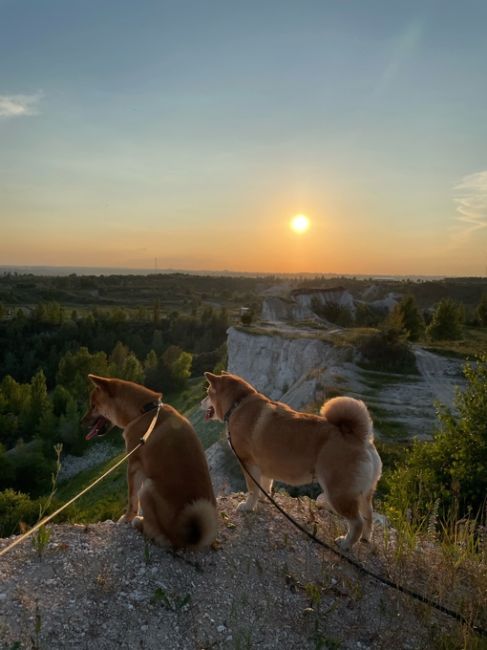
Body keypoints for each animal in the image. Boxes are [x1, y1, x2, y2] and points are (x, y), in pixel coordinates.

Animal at [83, 374, 217, 548]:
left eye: (93, 406)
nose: (81, 422)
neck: (145, 410)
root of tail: (187, 537)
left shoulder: (133, 465)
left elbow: (132, 500)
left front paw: (126, 518)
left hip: (147, 487)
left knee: (155, 533)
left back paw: (139, 523)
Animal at [202, 370, 382, 548]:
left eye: (207, 392)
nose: (201, 403)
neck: (238, 404)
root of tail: (360, 439)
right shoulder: (263, 467)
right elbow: (264, 487)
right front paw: (263, 500)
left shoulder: (248, 463)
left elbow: (252, 489)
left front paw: (248, 506)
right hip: (363, 493)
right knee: (368, 517)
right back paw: (365, 539)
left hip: (338, 494)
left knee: (357, 522)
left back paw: (346, 543)